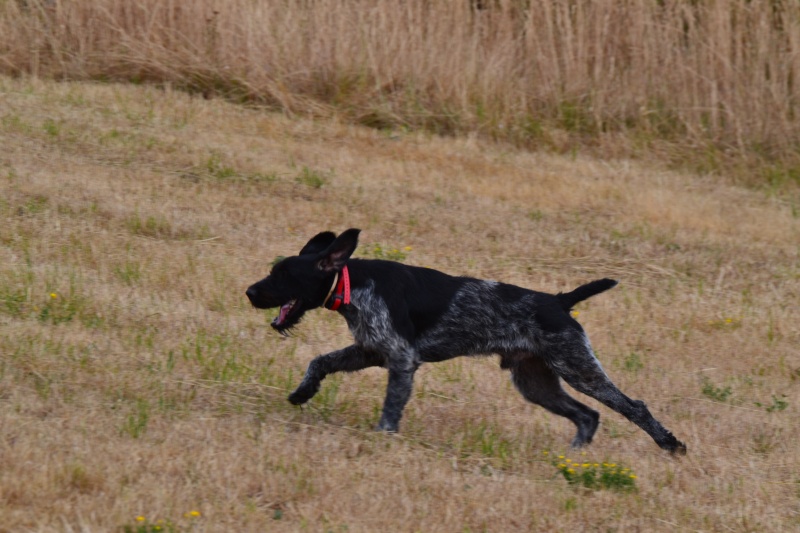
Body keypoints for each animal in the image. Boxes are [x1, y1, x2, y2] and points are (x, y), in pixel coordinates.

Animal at [245, 229, 688, 454]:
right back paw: (574, 455)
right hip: (537, 383)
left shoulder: (400, 359)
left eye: (283, 275)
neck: (354, 283)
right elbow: (319, 362)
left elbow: (390, 408)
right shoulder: (370, 350)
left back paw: (670, 443)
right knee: (587, 416)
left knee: (632, 406)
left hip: (578, 369)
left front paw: (382, 438)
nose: (249, 291)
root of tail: (560, 301)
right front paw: (303, 393)